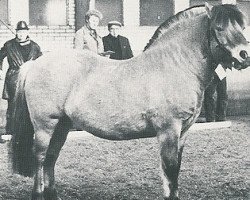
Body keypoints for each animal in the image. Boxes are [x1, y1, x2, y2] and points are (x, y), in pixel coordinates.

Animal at [9, 3, 250, 200]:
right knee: (40, 158)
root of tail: (35, 63)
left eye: (242, 27)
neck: (174, 65)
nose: (244, 55)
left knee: (51, 157)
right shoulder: (168, 131)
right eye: (219, 27)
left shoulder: (182, 134)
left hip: (62, 125)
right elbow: (170, 170)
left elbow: (174, 173)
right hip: (45, 126)